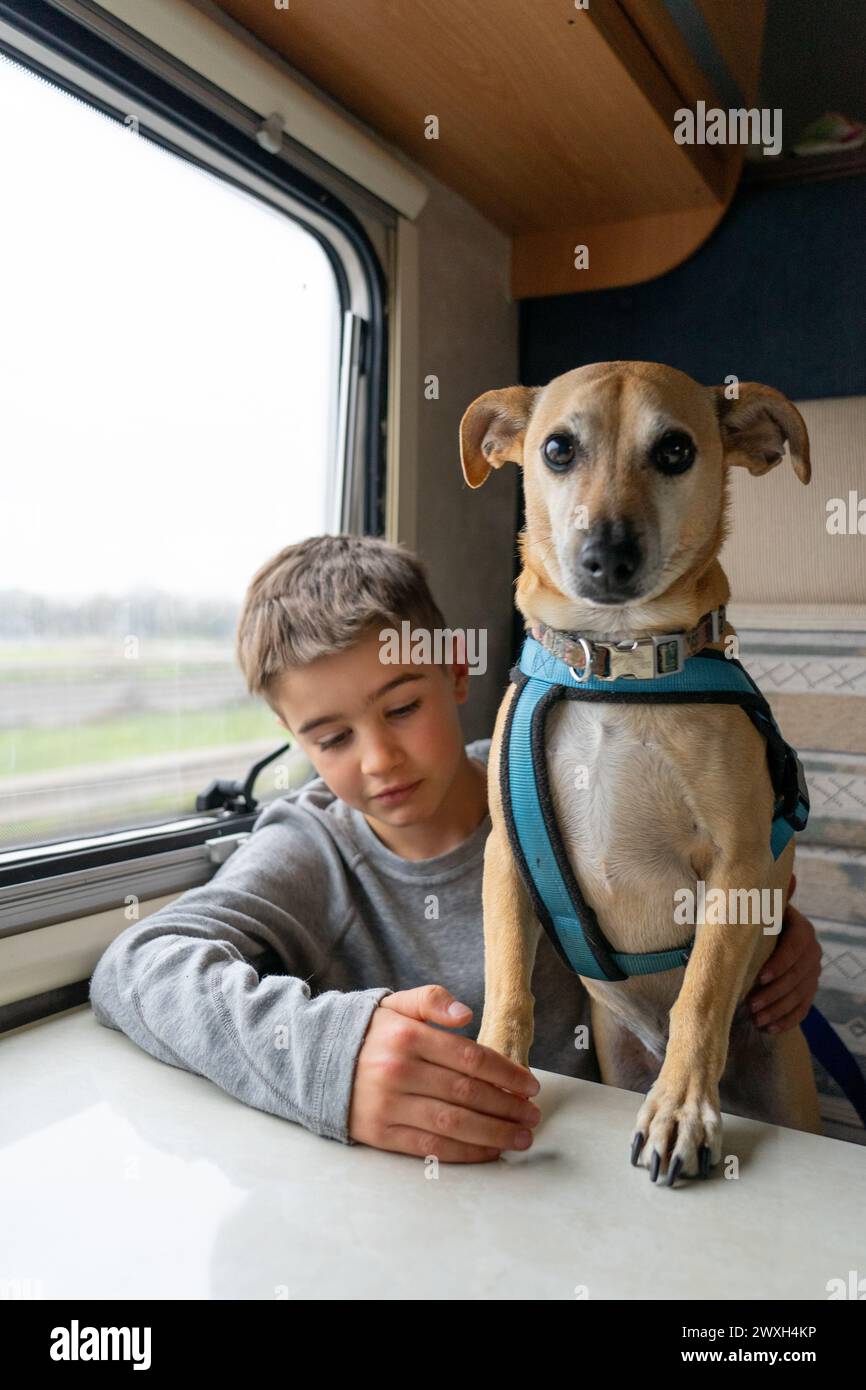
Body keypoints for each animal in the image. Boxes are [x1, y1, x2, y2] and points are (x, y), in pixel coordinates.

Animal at [458, 361, 822, 1184]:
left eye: (676, 451)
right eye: (557, 448)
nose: (608, 555)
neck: (615, 669)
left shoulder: (738, 869)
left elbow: (701, 994)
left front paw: (682, 1108)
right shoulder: (507, 857)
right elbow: (508, 984)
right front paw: (491, 1070)